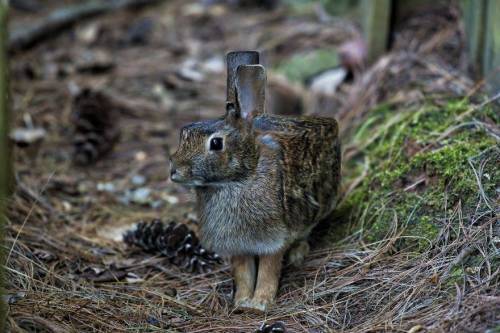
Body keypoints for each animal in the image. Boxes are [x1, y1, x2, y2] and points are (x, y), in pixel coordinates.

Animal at [170, 50, 342, 310]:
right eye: (183, 133)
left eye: (216, 143)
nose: (174, 171)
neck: (239, 178)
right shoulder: (239, 246)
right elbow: (243, 272)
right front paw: (242, 302)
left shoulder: (274, 238)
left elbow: (268, 270)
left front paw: (261, 303)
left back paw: (298, 254)